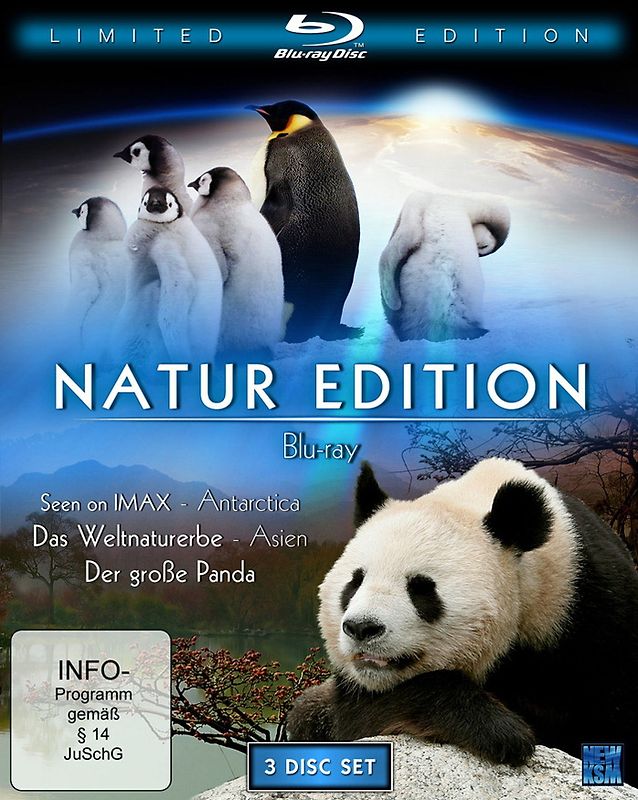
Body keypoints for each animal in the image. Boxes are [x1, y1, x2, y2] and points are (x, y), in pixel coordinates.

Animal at [287, 458, 638, 782]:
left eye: (422, 588)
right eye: (355, 582)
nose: (362, 627)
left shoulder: (593, 615)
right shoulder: (357, 689)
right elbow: (359, 714)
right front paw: (502, 732)